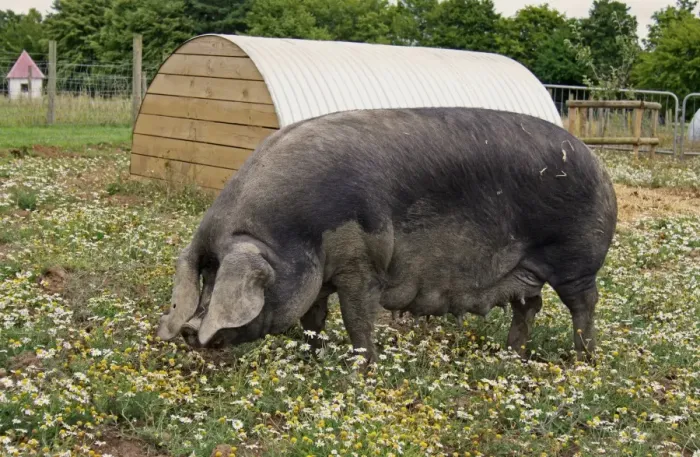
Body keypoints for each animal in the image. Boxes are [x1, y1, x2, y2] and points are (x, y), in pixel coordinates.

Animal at [156, 107, 617, 365]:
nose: (189, 331)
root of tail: (600, 167)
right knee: (530, 305)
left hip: (576, 259)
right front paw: (310, 359)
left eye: (223, 278)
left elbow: (358, 319)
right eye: (206, 275)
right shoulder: (319, 276)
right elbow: (313, 320)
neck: (292, 233)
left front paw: (363, 370)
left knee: (584, 304)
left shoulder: (361, 264)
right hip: (524, 269)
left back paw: (582, 360)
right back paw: (511, 356)